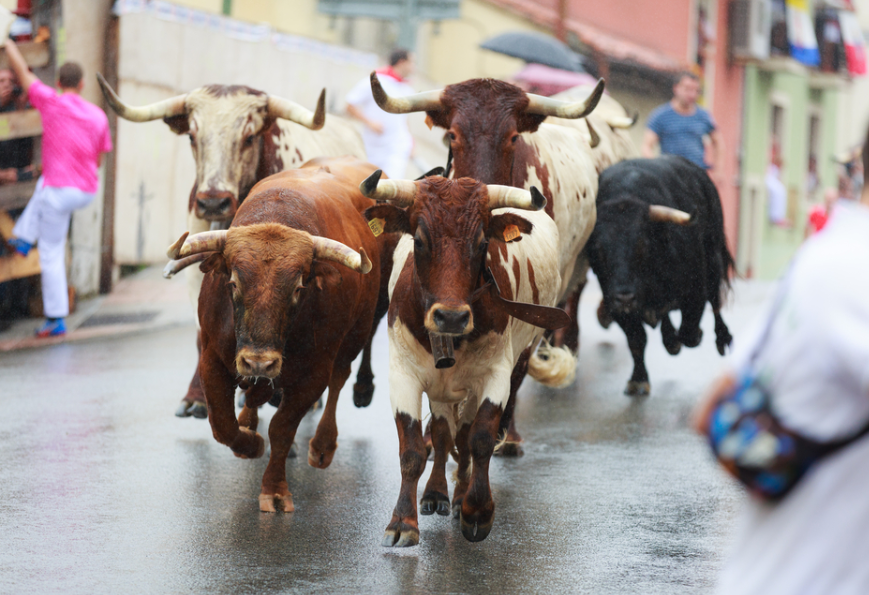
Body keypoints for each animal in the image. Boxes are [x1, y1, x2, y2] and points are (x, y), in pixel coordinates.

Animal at [171, 158, 382, 512]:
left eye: (298, 287)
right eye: (233, 282)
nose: (259, 361)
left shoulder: (313, 375)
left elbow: (282, 429)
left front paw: (275, 490)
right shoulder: (212, 359)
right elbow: (223, 425)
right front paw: (249, 443)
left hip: (355, 336)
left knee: (340, 380)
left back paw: (323, 446)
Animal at [588, 155, 732, 396]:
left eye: (642, 245)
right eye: (598, 250)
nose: (625, 297)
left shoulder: (695, 293)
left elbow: (689, 332)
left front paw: (687, 338)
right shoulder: (616, 306)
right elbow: (637, 340)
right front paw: (638, 379)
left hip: (714, 257)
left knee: (715, 300)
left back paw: (722, 339)